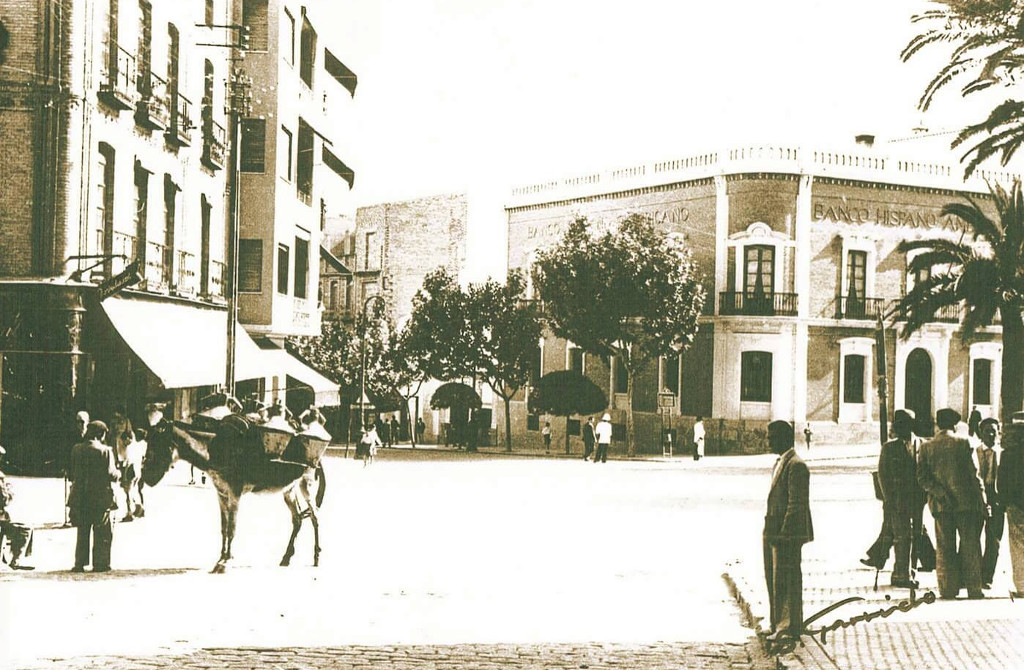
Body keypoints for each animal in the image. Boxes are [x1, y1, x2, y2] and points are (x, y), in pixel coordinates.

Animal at [142, 411, 325, 573]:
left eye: (158, 443)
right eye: (148, 443)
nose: (146, 478)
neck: (217, 449)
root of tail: (319, 461)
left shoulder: (235, 494)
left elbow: (232, 528)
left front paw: (225, 562)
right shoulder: (221, 494)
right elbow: (223, 528)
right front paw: (220, 558)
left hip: (306, 484)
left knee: (315, 516)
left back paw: (316, 557)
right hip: (289, 489)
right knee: (298, 519)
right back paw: (286, 558)